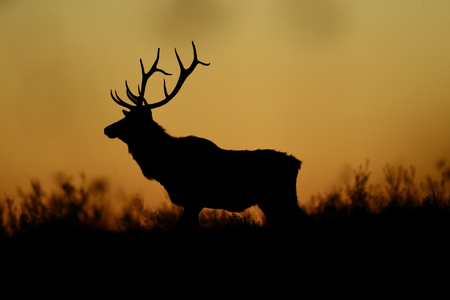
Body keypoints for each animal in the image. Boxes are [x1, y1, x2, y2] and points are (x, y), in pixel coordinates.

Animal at [103, 41, 312, 230]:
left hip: (282, 196)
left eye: (131, 120)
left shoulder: (194, 200)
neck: (164, 167)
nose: (107, 129)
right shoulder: (193, 203)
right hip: (269, 201)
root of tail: (297, 163)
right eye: (126, 116)